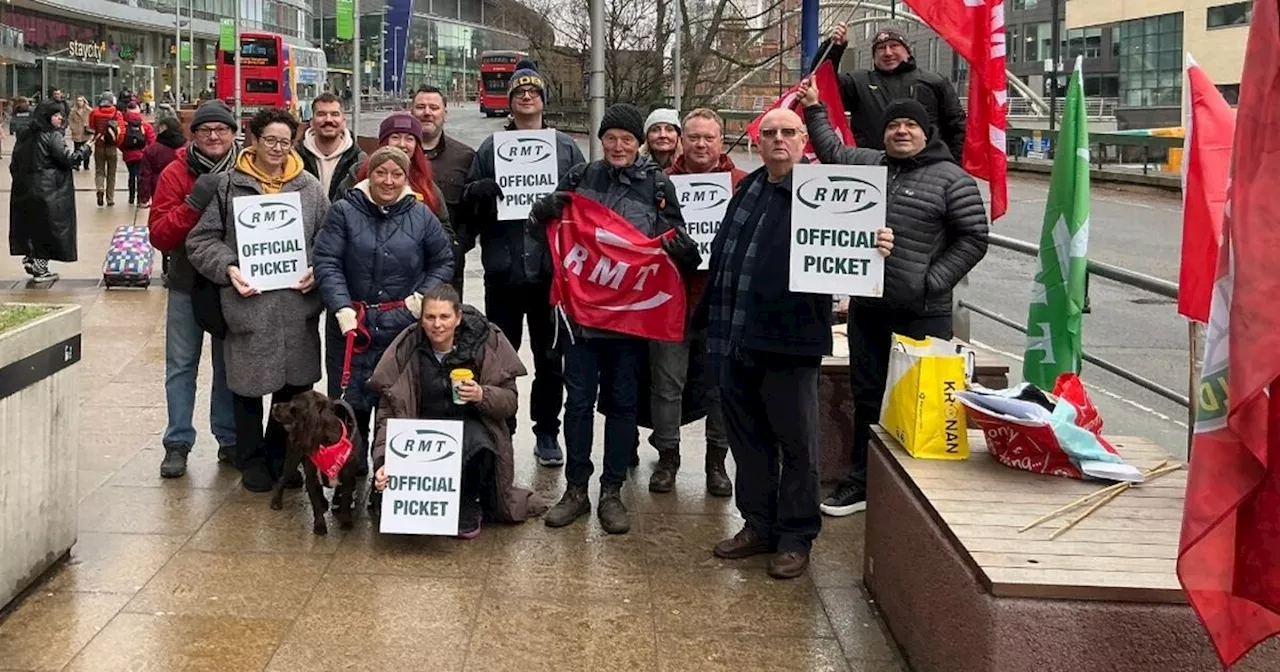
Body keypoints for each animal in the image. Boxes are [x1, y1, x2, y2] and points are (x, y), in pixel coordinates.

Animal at [268, 386, 363, 535]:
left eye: (293, 406)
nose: (274, 406)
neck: (326, 444)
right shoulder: (311, 479)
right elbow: (316, 505)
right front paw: (319, 525)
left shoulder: (348, 479)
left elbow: (345, 501)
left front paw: (346, 521)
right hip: (292, 459)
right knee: (283, 478)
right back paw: (276, 501)